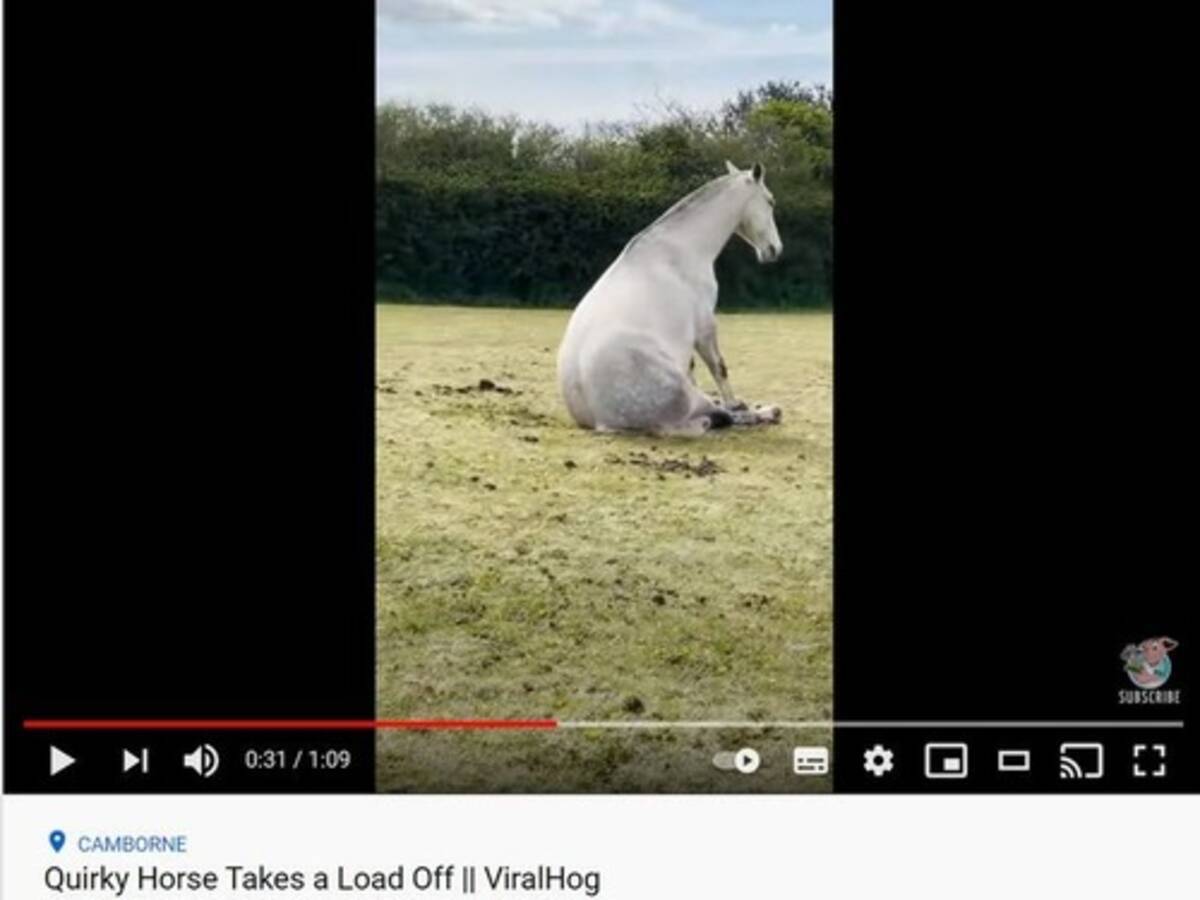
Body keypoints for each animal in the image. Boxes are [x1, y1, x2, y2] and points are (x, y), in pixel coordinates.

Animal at [557, 160, 784, 436]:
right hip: (687, 396)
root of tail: (601, 422)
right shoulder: (705, 326)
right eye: (770, 201)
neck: (682, 248)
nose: (774, 250)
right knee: (716, 417)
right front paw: (735, 402)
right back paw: (766, 412)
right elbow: (719, 368)